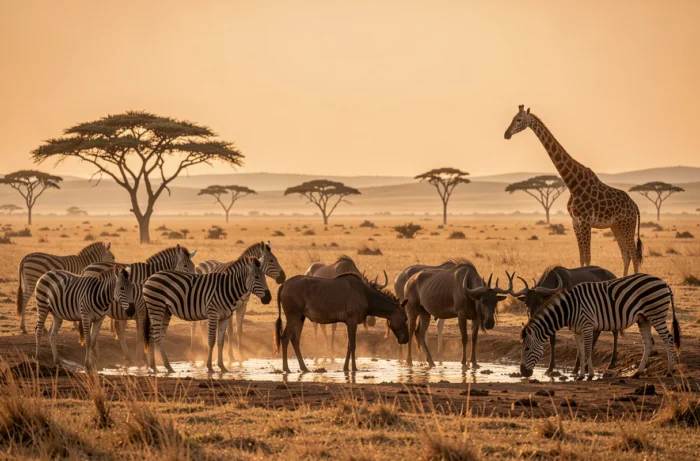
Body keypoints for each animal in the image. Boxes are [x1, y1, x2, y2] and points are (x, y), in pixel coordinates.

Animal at [504, 105, 643, 276]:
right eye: (512, 118)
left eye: (519, 119)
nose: (506, 134)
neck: (573, 184)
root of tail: (634, 205)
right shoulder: (575, 222)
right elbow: (582, 257)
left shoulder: (585, 221)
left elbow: (588, 257)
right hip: (616, 226)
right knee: (625, 254)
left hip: (627, 225)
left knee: (633, 255)